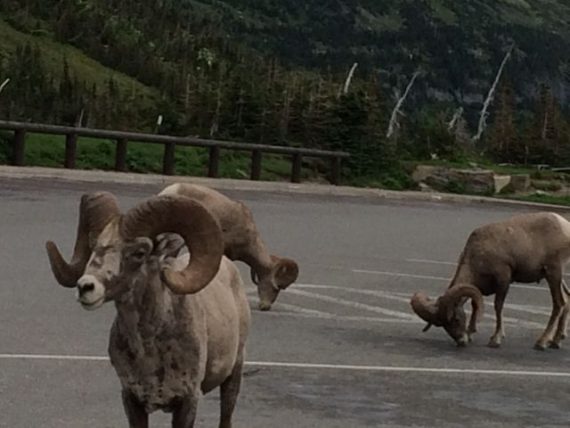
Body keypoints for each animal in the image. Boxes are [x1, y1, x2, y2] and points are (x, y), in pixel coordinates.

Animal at [47, 192, 252, 426]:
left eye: (139, 252)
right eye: (94, 245)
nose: (85, 287)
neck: (149, 353)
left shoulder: (188, 400)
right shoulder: (132, 399)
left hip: (233, 375)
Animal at [408, 212, 568, 350]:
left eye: (456, 319)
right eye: (444, 326)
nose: (461, 342)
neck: (477, 254)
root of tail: (565, 226)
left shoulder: (503, 279)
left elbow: (498, 306)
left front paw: (495, 340)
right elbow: (475, 305)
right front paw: (470, 333)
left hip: (553, 273)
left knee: (559, 304)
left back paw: (541, 342)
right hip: (557, 277)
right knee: (567, 300)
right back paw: (556, 341)